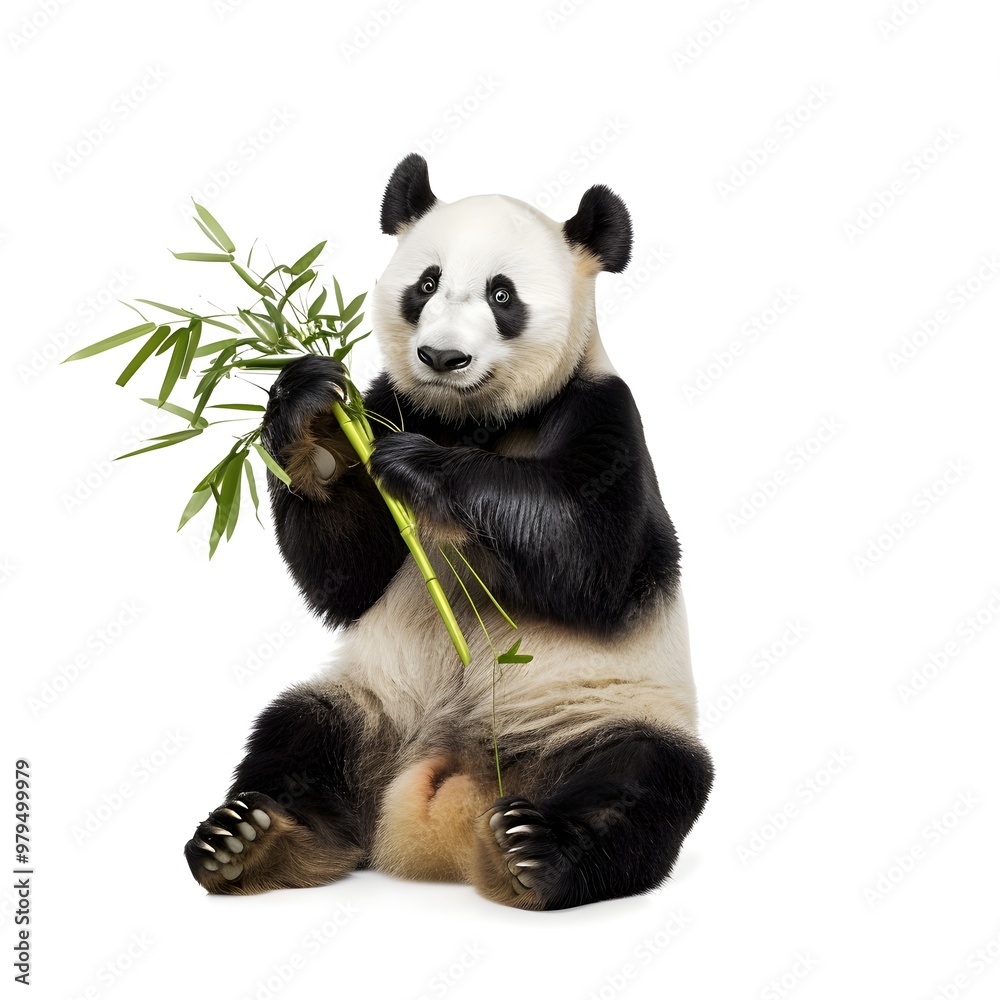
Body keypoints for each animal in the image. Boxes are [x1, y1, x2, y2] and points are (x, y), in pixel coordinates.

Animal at [183, 153, 713, 910]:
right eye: (427, 282)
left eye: (502, 294)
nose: (441, 357)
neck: (471, 420)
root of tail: (448, 788)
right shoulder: (387, 403)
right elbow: (345, 576)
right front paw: (309, 404)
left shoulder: (604, 414)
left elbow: (591, 555)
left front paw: (419, 467)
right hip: (372, 700)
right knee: (298, 732)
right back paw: (251, 840)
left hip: (607, 706)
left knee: (641, 779)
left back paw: (535, 853)